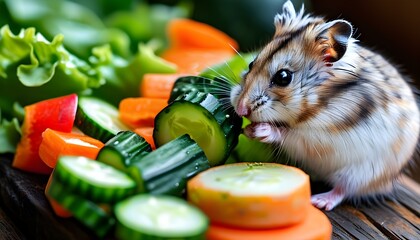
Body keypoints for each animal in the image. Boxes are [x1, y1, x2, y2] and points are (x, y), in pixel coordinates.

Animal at [230, 0, 420, 210]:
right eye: (251, 64)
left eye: (283, 77)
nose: (240, 109)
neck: (318, 105)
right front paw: (248, 129)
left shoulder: (319, 138)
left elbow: (289, 135)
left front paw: (258, 130)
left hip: (363, 173)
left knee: (343, 189)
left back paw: (319, 201)